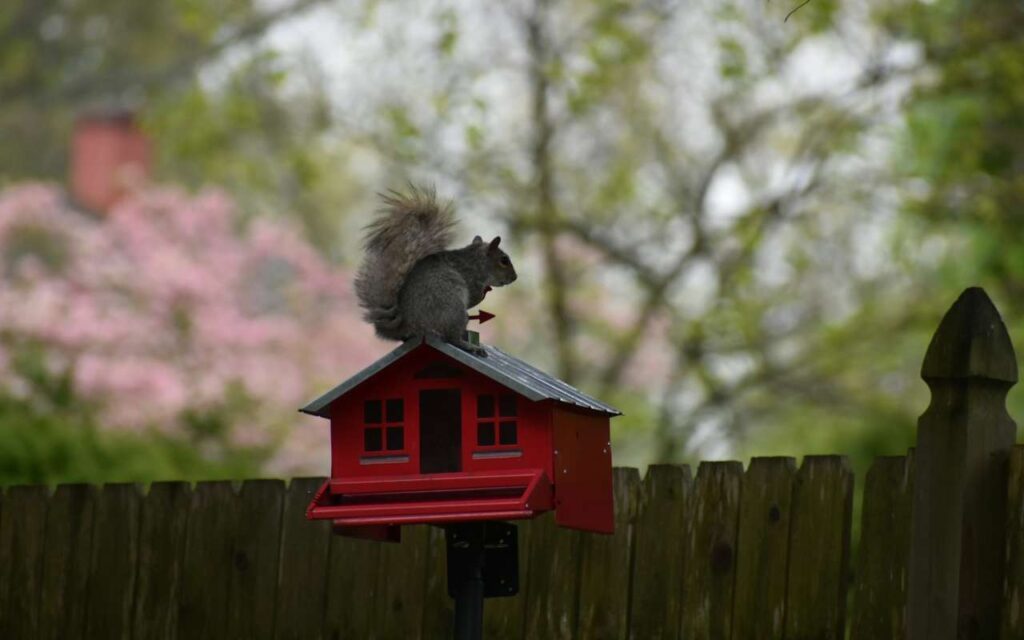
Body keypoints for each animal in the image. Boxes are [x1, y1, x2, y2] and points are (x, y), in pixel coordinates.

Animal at [354, 185, 517, 356]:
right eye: (504, 260)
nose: (515, 277)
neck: (477, 261)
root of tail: (406, 322)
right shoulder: (472, 278)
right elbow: (474, 297)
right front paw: (485, 292)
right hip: (453, 310)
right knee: (452, 338)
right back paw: (470, 347)